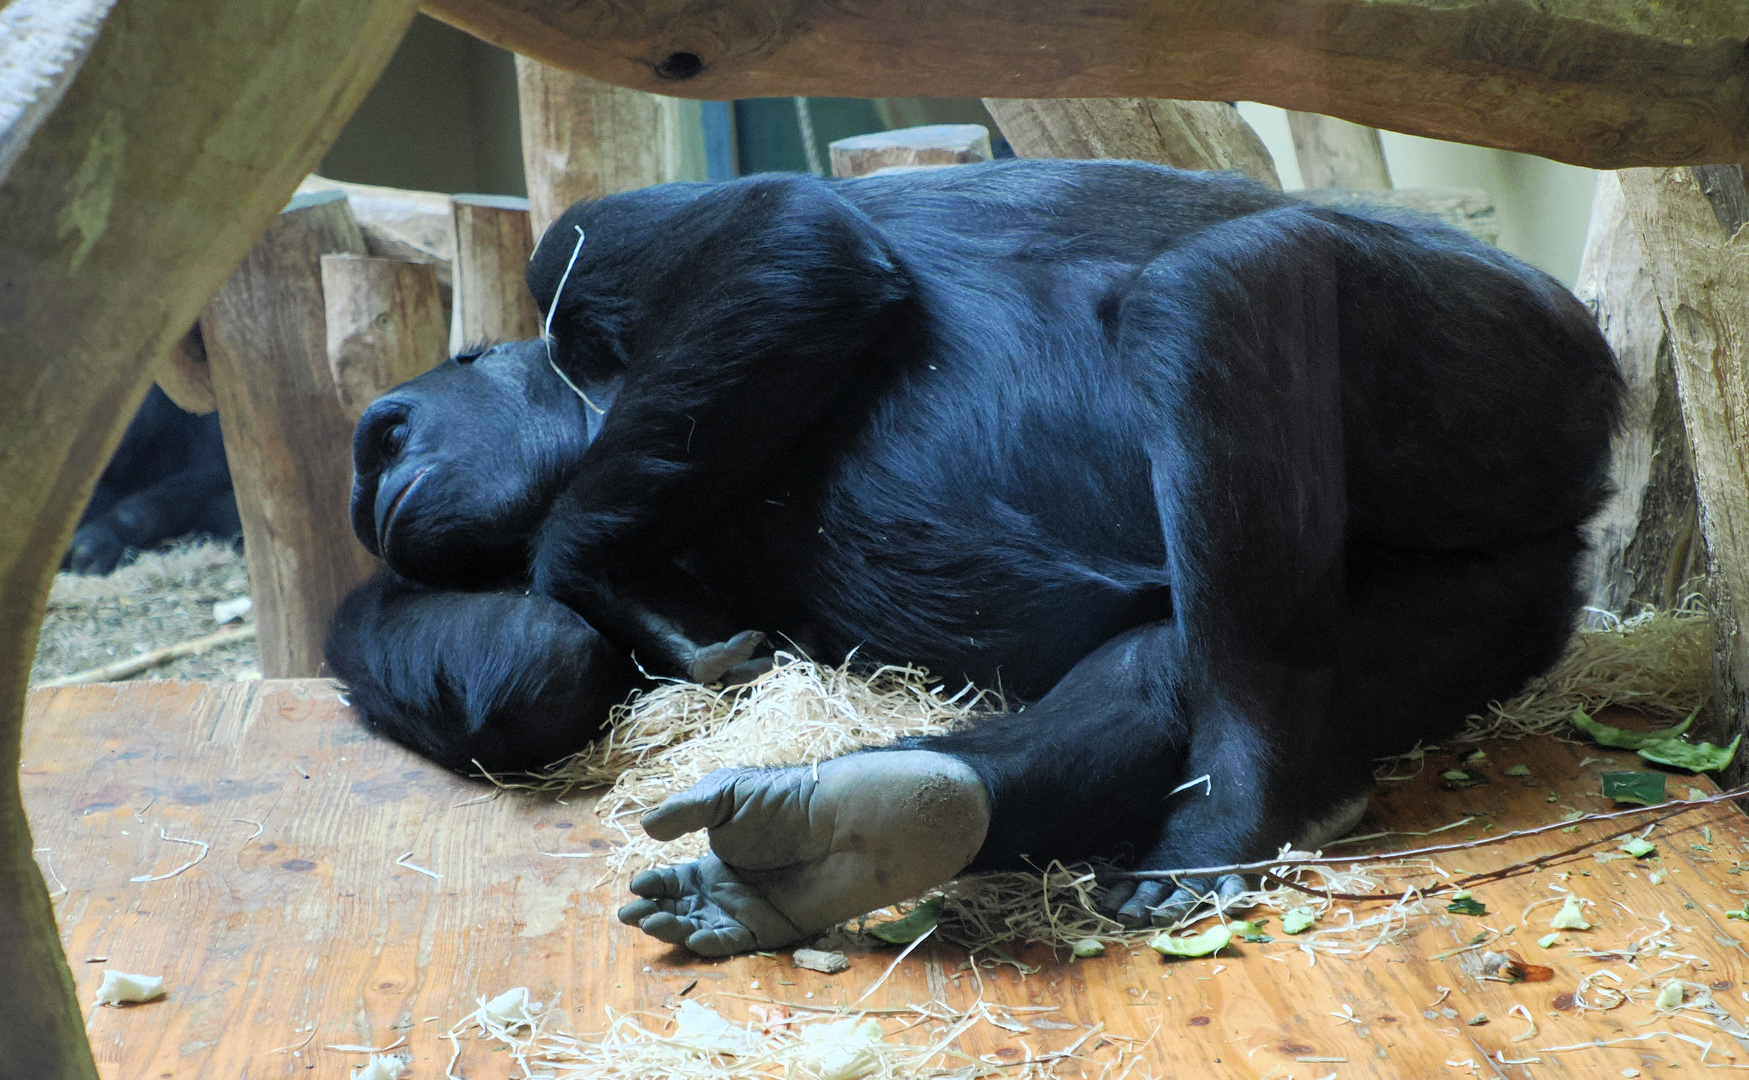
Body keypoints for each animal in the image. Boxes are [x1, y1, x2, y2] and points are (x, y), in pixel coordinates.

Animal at [325, 157, 1609, 952]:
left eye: (384, 432)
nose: (372, 489)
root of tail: (1585, 502)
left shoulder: (586, 255)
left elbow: (790, 243)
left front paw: (593, 570)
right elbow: (530, 675)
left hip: (1521, 371)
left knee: (1221, 284)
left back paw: (1229, 814)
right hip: (1495, 606)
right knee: (1159, 665)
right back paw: (840, 836)